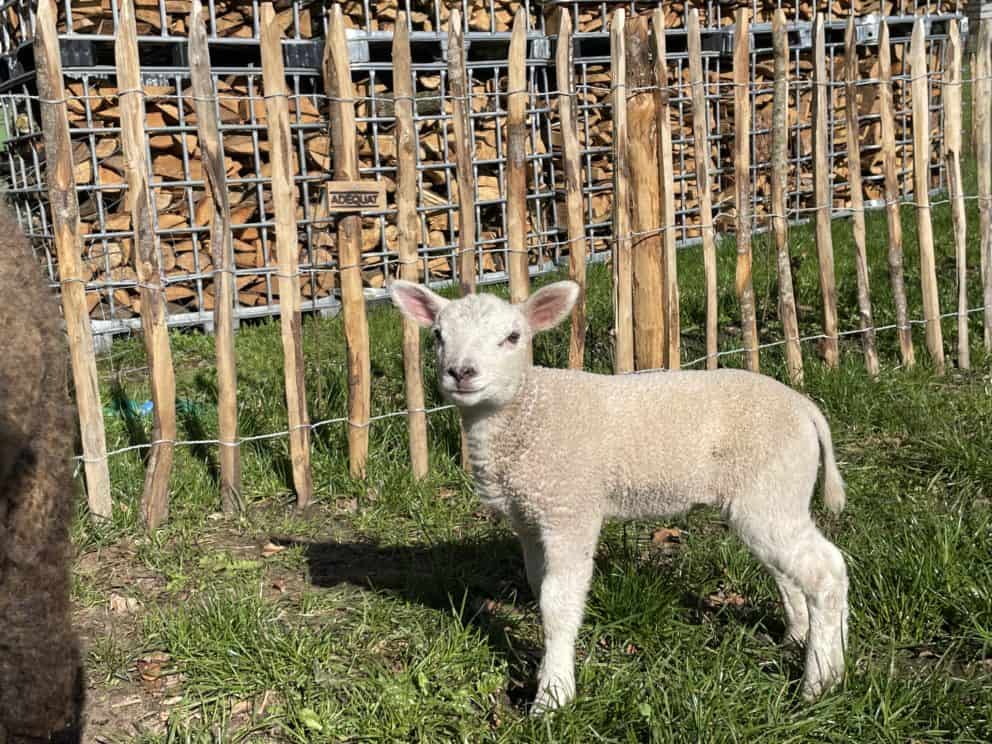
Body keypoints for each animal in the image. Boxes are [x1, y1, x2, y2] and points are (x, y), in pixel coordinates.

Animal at [392, 280, 848, 716]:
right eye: (437, 336)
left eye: (512, 337)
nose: (461, 372)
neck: (526, 411)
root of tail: (806, 410)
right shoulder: (529, 516)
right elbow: (539, 587)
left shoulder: (570, 508)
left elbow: (558, 602)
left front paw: (553, 696)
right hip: (773, 495)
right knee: (789, 571)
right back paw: (803, 639)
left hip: (772, 488)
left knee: (826, 572)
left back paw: (820, 681)